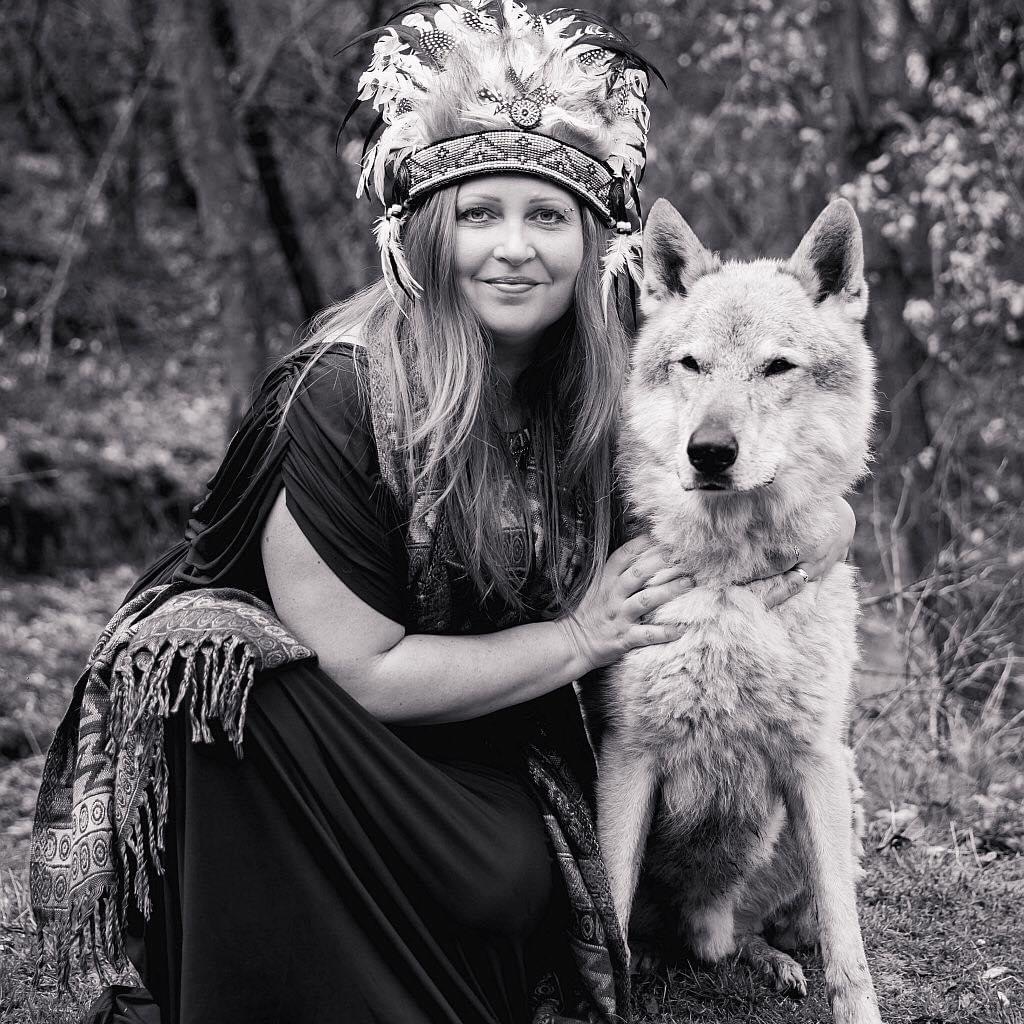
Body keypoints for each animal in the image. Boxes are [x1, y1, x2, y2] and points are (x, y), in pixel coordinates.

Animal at [596, 197, 882, 1024]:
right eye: (692, 365)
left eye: (777, 367)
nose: (709, 452)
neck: (729, 583)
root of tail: (709, 923)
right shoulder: (630, 755)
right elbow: (611, 915)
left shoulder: (813, 758)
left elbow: (850, 951)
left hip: (843, 797)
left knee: (771, 932)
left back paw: (769, 961)